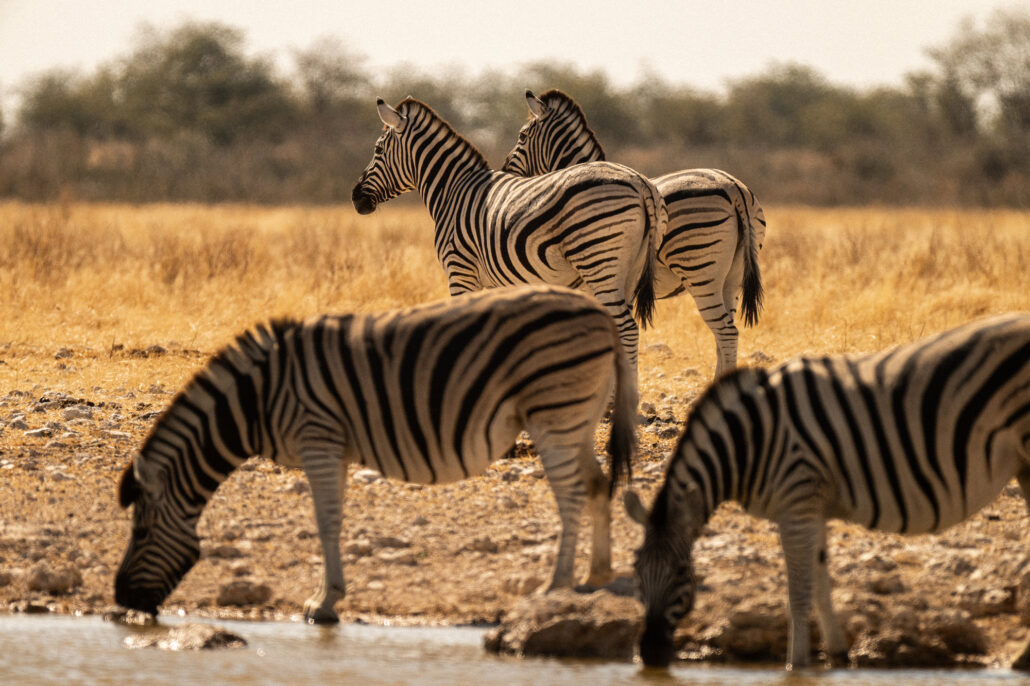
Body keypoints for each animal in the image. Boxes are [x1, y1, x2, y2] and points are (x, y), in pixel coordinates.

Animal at [115, 285, 637, 624]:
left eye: (140, 532)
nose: (120, 600)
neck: (257, 399)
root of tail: (601, 314)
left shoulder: (319, 439)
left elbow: (326, 520)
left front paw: (323, 603)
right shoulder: (336, 449)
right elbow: (333, 518)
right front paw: (325, 596)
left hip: (553, 411)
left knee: (570, 493)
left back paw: (556, 584)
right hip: (578, 417)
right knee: (596, 484)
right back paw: (596, 574)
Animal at [351, 97, 666, 393]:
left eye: (378, 150)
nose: (355, 197)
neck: (451, 191)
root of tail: (639, 181)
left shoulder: (460, 271)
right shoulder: (493, 284)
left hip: (598, 261)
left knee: (625, 328)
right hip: (628, 270)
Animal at [503, 89, 766, 378]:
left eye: (522, 136)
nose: (503, 171)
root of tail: (734, 188)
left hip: (700, 270)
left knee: (725, 333)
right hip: (732, 277)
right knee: (724, 335)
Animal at [624, 313, 1030, 669]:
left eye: (682, 573)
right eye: (636, 573)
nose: (649, 656)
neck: (751, 441)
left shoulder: (796, 501)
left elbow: (799, 593)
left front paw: (796, 665)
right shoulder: (811, 506)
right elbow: (820, 583)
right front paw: (837, 656)